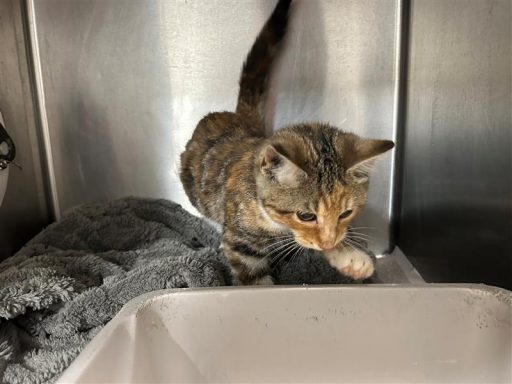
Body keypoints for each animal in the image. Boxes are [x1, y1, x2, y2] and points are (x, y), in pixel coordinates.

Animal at [182, 0, 394, 284]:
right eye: (306, 216)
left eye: (345, 213)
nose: (328, 243)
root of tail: (241, 118)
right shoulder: (240, 243)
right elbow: (254, 276)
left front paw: (348, 256)